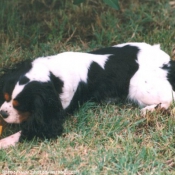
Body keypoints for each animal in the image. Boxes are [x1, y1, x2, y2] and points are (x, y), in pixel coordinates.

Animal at [0, 42, 175, 148]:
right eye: (5, 97)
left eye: (19, 106)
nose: (3, 113)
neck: (53, 75)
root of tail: (167, 61)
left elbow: (28, 130)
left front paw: (4, 142)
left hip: (137, 86)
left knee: (169, 96)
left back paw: (150, 110)